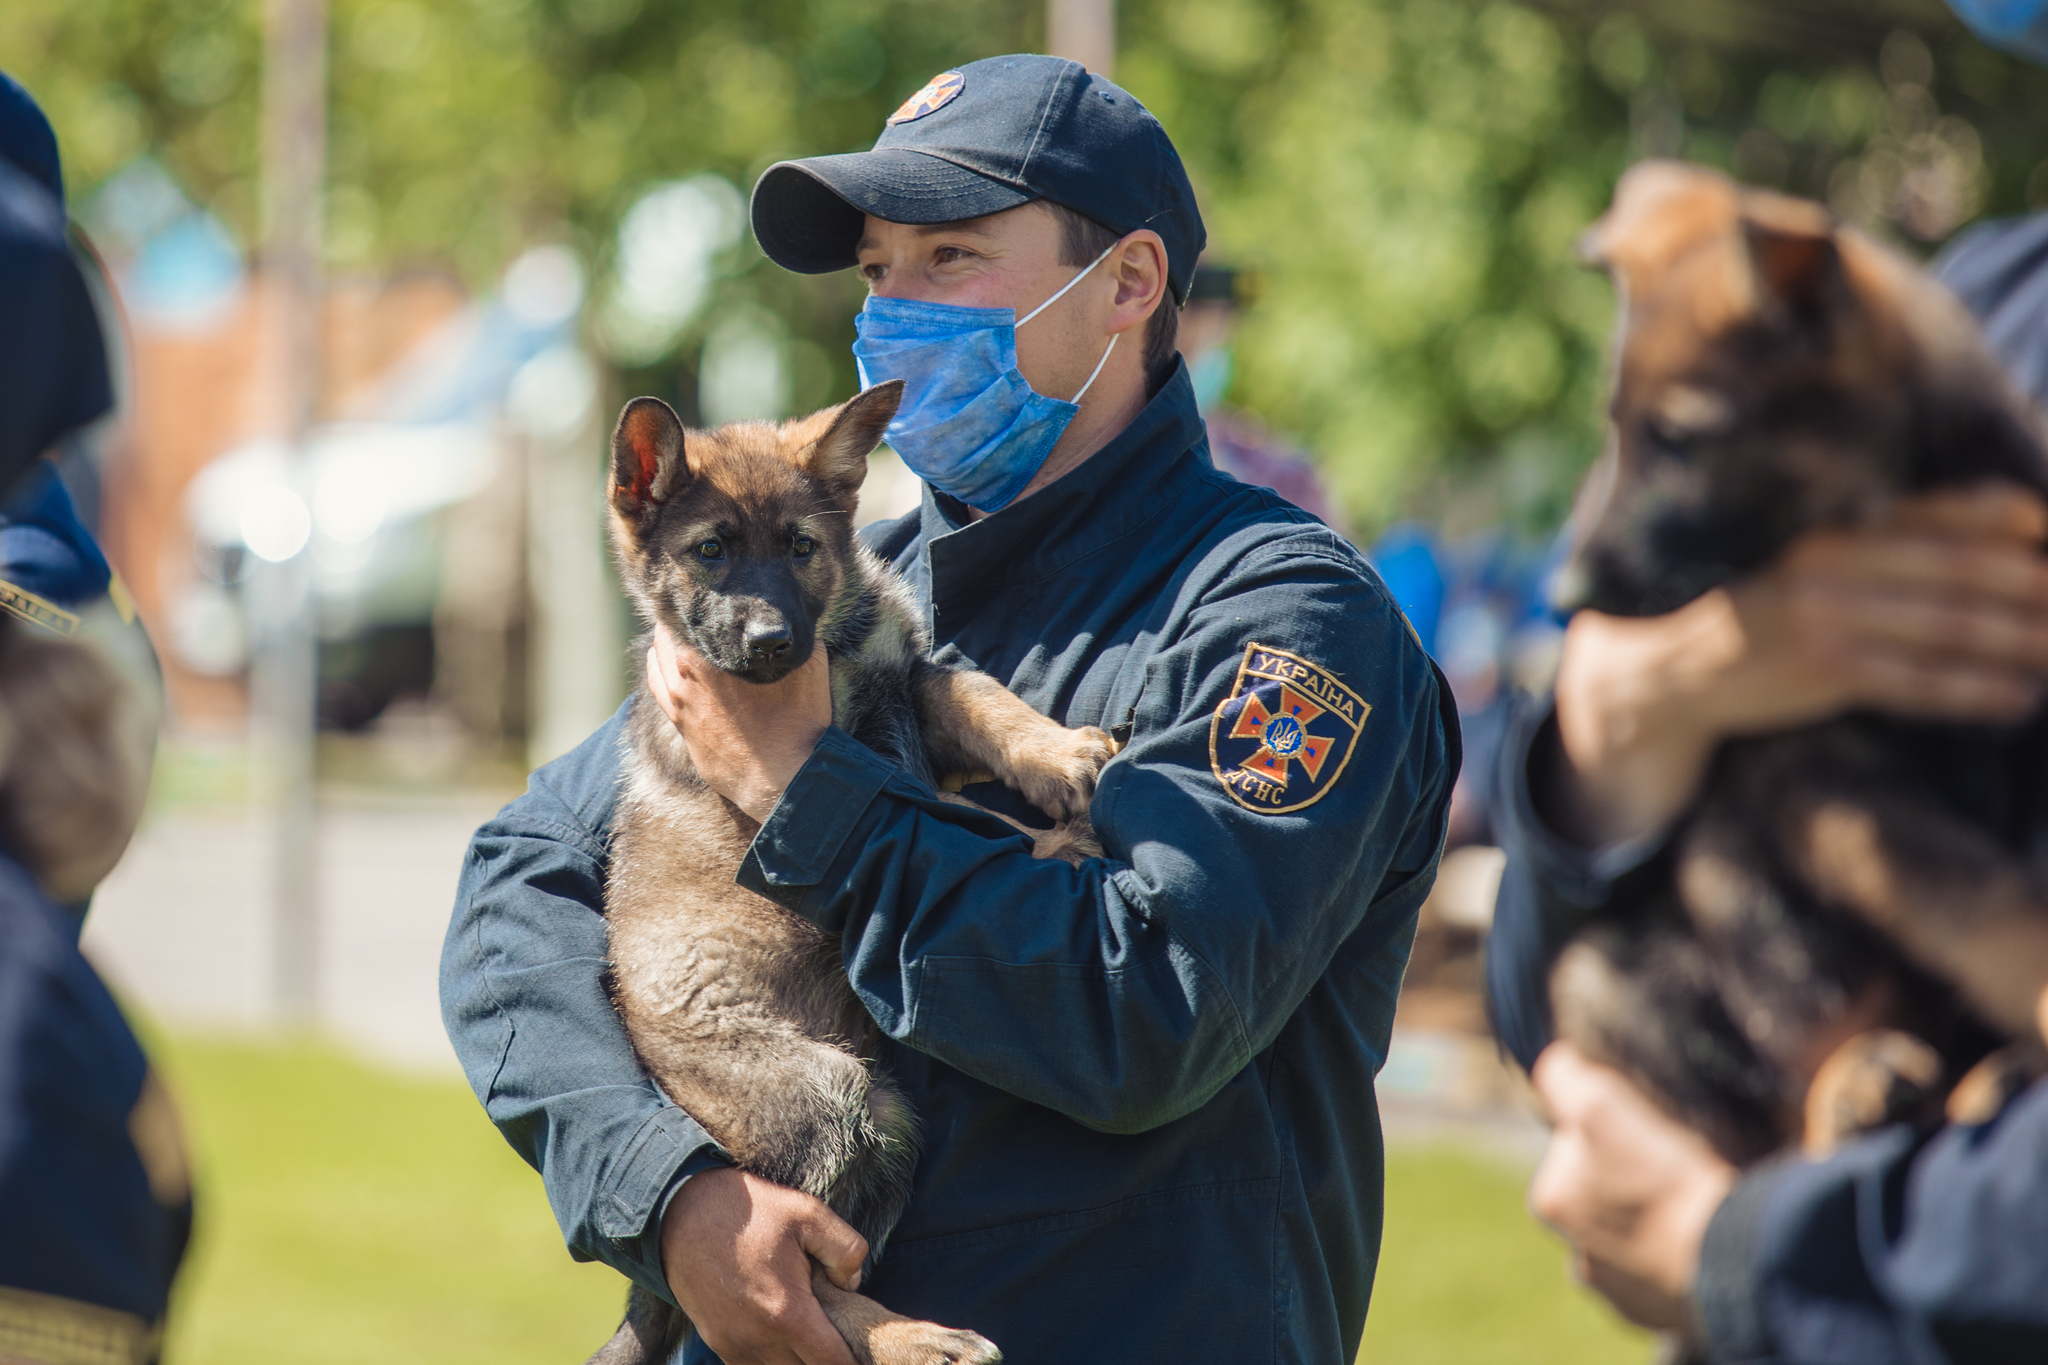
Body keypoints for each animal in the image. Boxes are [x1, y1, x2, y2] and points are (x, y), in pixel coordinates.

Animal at [589, 382, 1122, 1365]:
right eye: (710, 550)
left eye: (802, 546)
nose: (771, 643)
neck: (830, 650)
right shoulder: (825, 765)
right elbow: (946, 813)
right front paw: (1049, 835)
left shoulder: (902, 681)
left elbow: (970, 695)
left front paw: (1057, 751)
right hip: (823, 1100)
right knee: (798, 1279)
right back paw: (915, 1338)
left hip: (888, 1119)